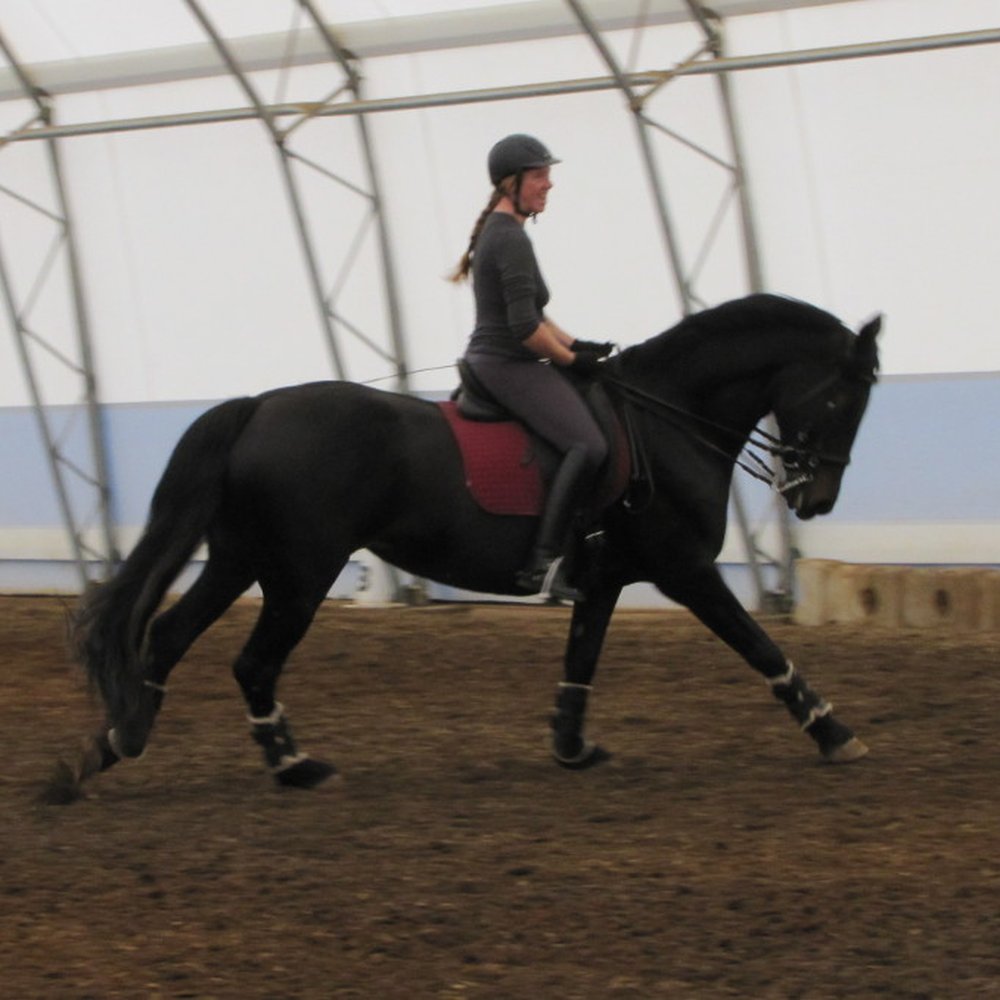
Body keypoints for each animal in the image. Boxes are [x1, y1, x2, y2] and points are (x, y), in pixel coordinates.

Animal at [50, 293, 881, 803]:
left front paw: (571, 745)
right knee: (251, 663)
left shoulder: (607, 576)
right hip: (299, 574)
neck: (667, 419)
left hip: (239, 561)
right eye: (844, 396)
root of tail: (258, 408)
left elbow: (581, 660)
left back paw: (110, 747)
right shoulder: (686, 570)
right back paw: (293, 766)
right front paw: (834, 732)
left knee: (166, 637)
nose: (817, 498)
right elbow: (760, 646)